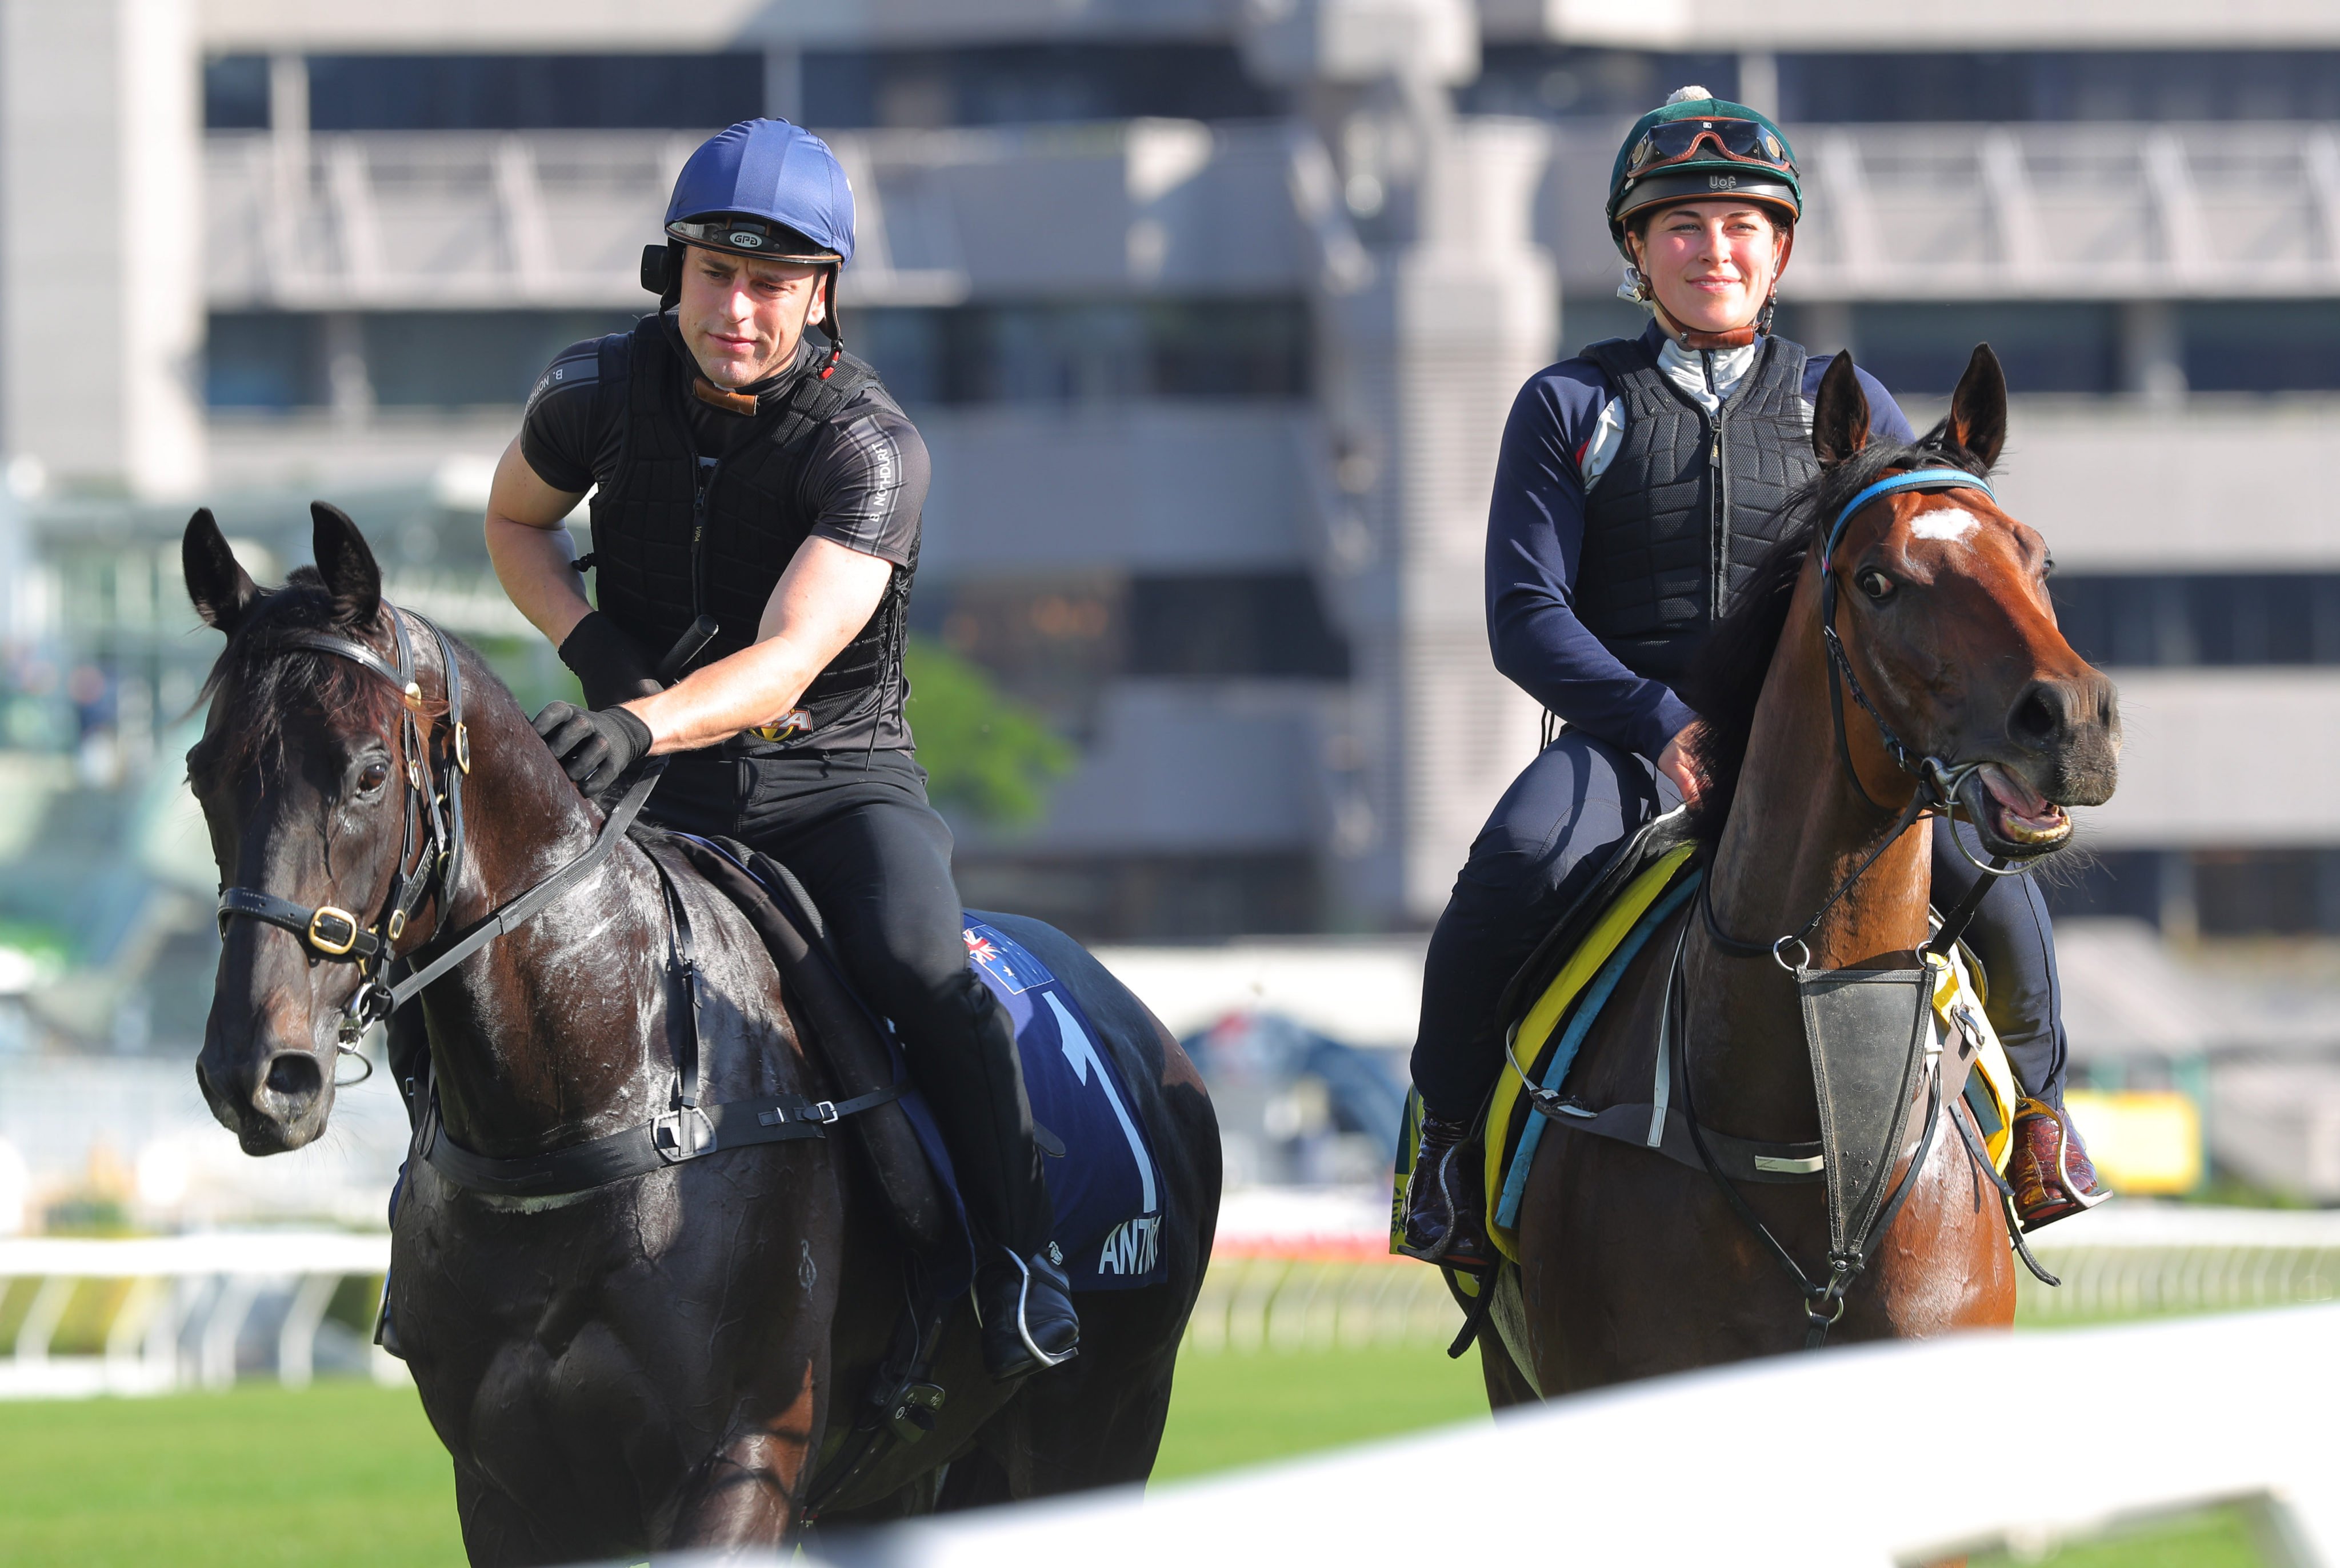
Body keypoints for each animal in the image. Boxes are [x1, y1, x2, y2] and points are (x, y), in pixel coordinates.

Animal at [178, 510, 1226, 1563]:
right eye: (200, 774)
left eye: (365, 772)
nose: (257, 1072)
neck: (598, 1099)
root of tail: (1146, 1032)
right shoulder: (511, 1492)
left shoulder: (742, 1457)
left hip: (1097, 1430)